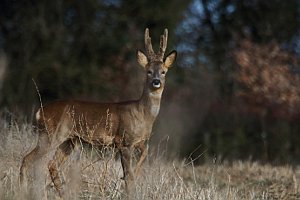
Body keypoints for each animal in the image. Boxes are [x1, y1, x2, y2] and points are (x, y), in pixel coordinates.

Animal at [19, 27, 177, 197]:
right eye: (148, 71)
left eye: (164, 71)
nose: (156, 82)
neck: (143, 115)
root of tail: (39, 112)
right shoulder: (124, 140)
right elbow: (128, 176)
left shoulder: (140, 141)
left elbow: (142, 158)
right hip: (51, 134)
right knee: (28, 159)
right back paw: (22, 190)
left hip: (69, 140)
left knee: (52, 164)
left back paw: (63, 194)